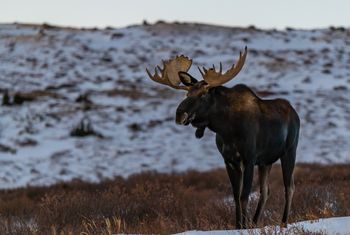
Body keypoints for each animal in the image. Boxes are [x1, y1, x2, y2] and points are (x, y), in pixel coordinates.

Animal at [146, 46, 300, 229]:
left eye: (203, 95)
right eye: (187, 93)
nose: (179, 114)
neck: (227, 129)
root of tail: (295, 113)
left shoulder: (249, 158)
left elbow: (244, 196)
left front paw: (244, 226)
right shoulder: (229, 161)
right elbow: (236, 197)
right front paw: (239, 225)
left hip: (289, 151)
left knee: (289, 187)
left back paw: (283, 223)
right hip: (266, 161)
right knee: (265, 191)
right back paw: (255, 222)